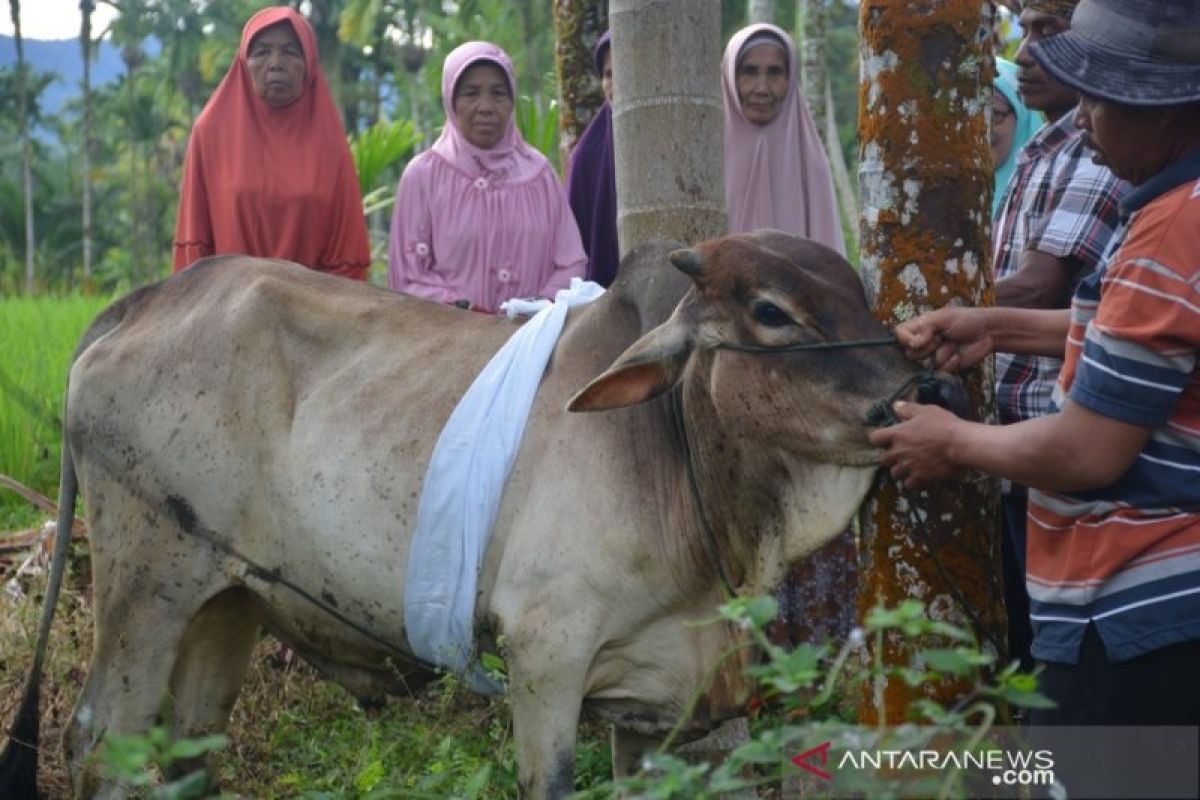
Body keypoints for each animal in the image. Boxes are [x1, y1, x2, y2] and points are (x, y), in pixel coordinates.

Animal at [0, 227, 955, 796]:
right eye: (770, 311)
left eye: (857, 294)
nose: (924, 391)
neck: (675, 446)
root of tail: (140, 302)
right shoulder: (546, 656)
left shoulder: (656, 702)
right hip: (146, 587)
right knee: (99, 742)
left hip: (226, 600)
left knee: (189, 752)